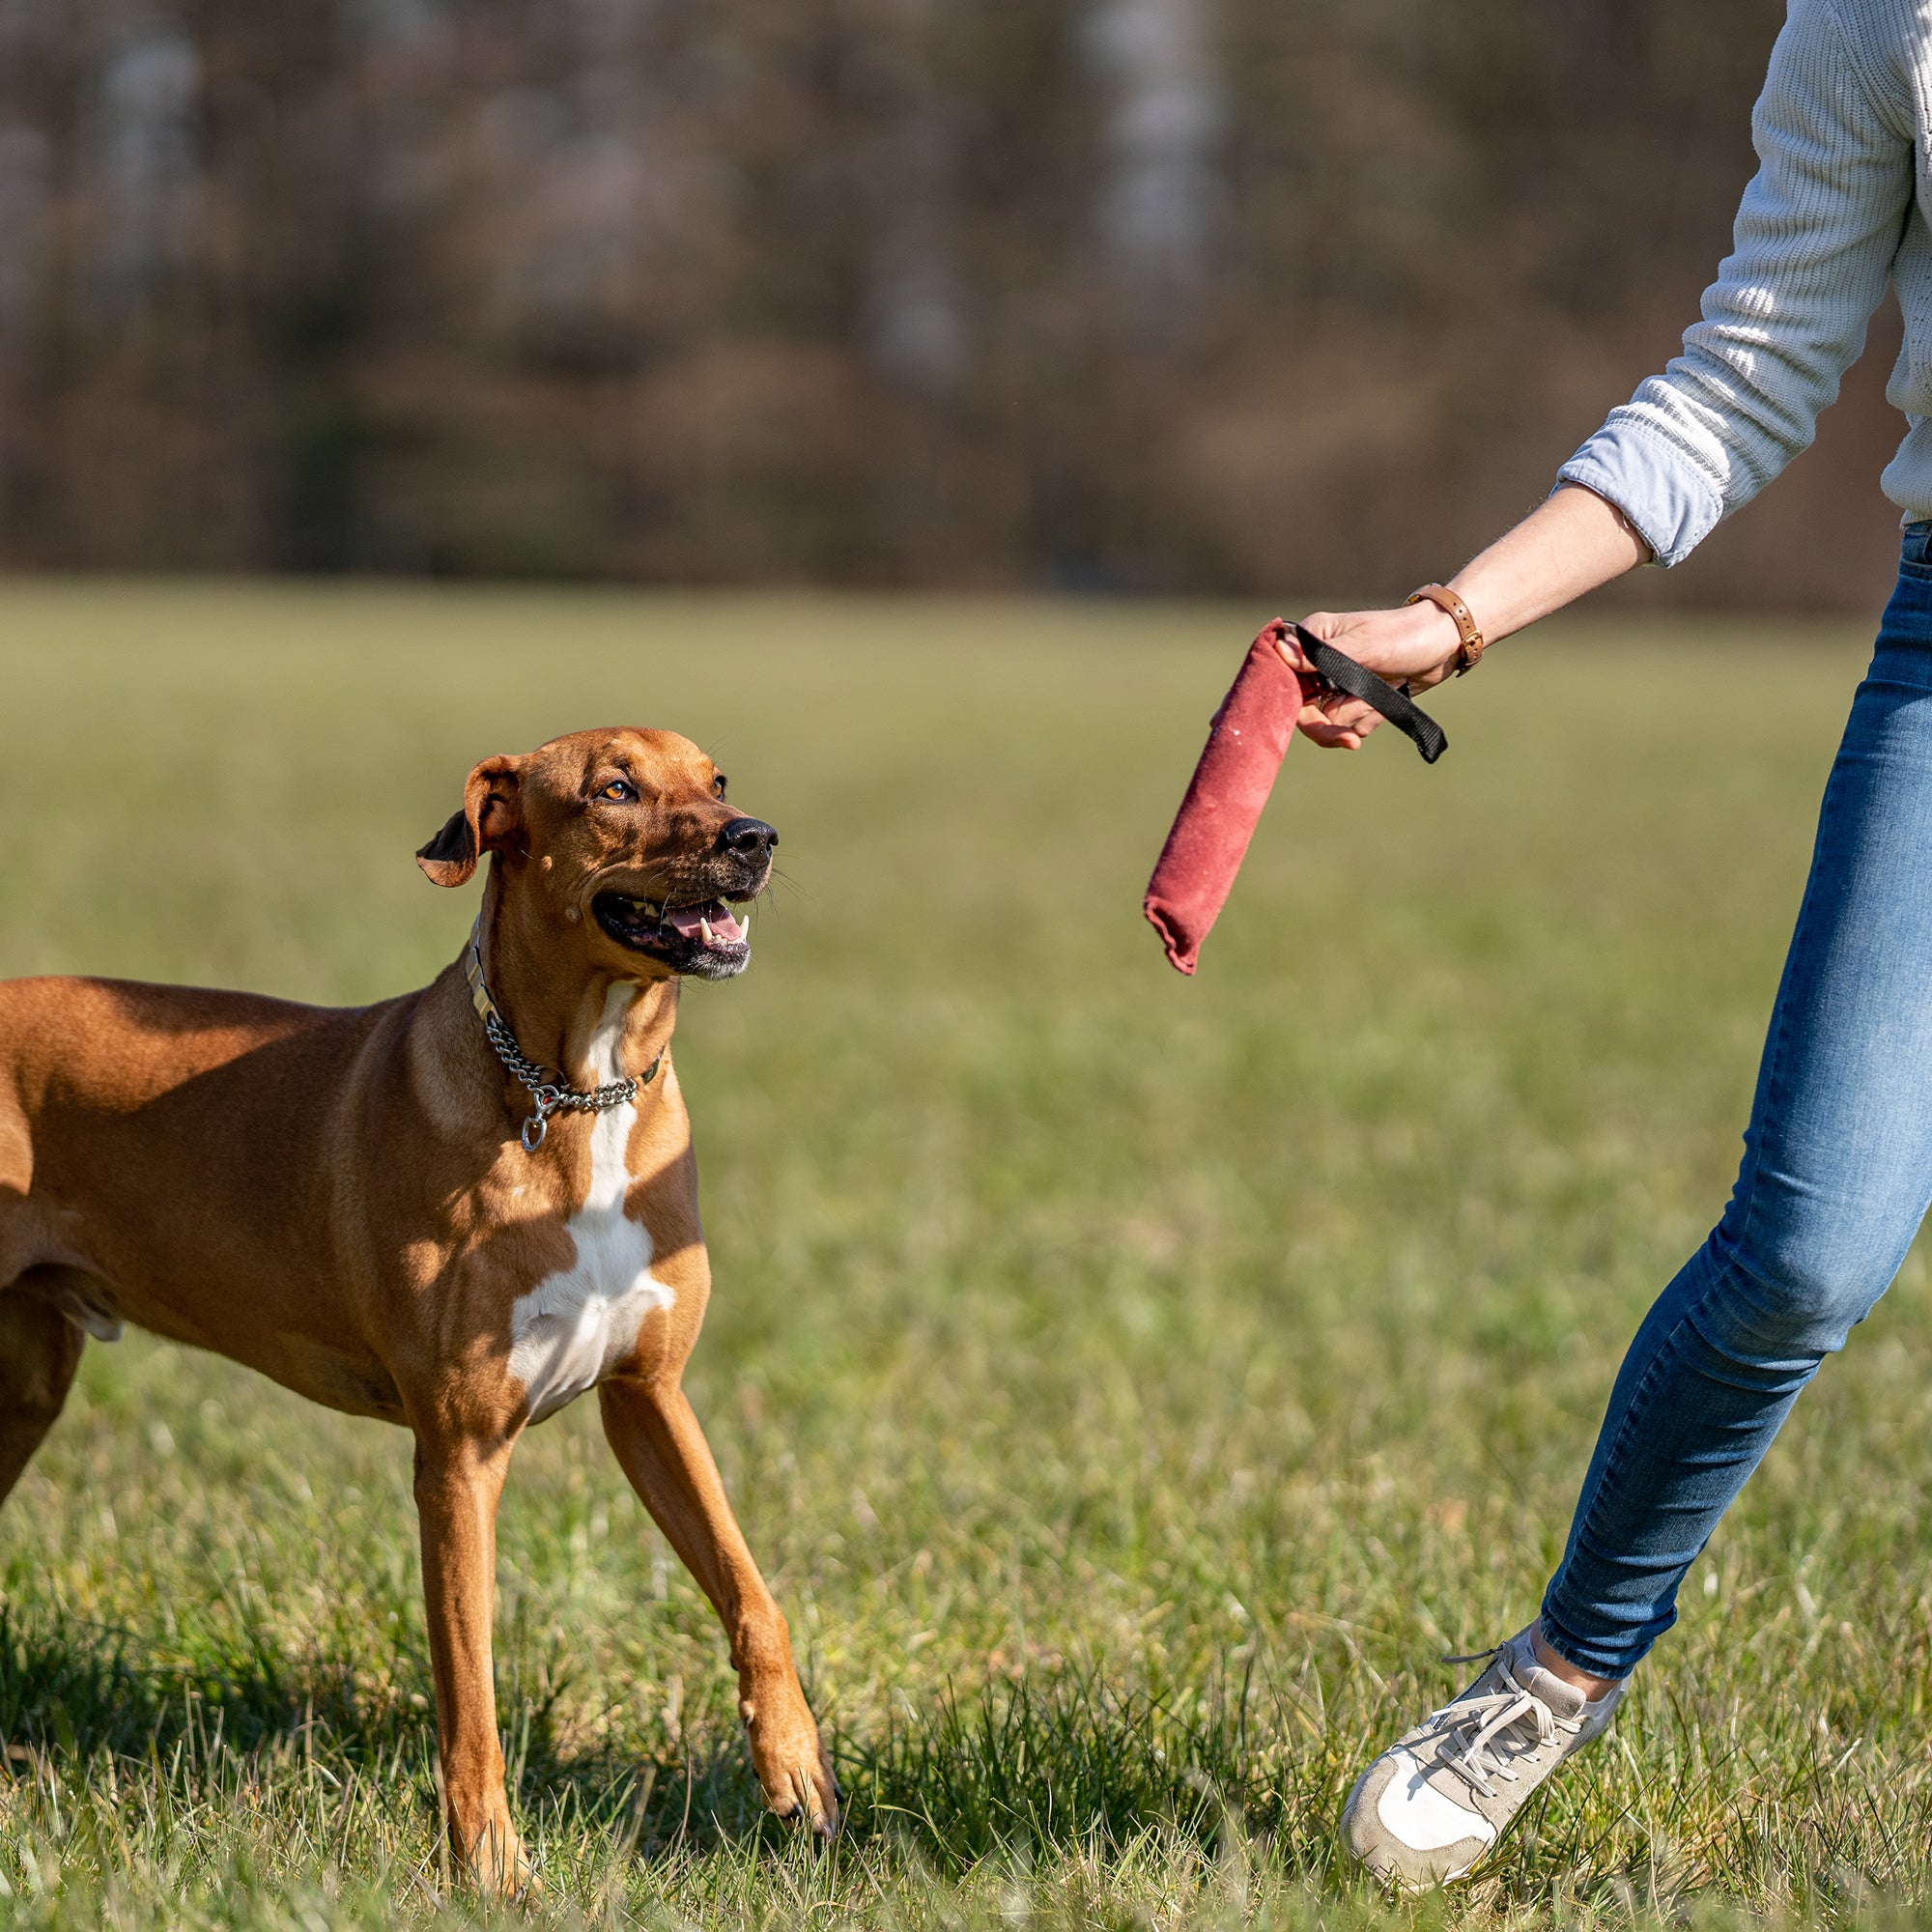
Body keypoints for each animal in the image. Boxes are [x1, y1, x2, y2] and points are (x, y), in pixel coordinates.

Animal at [0, 726, 838, 1886]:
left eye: (715, 779)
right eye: (615, 789)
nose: (754, 837)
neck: (576, 1092)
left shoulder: (650, 1395)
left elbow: (751, 1589)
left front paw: (794, 1763)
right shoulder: (459, 1454)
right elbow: (470, 1692)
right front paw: (489, 1866)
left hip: (26, 1383)